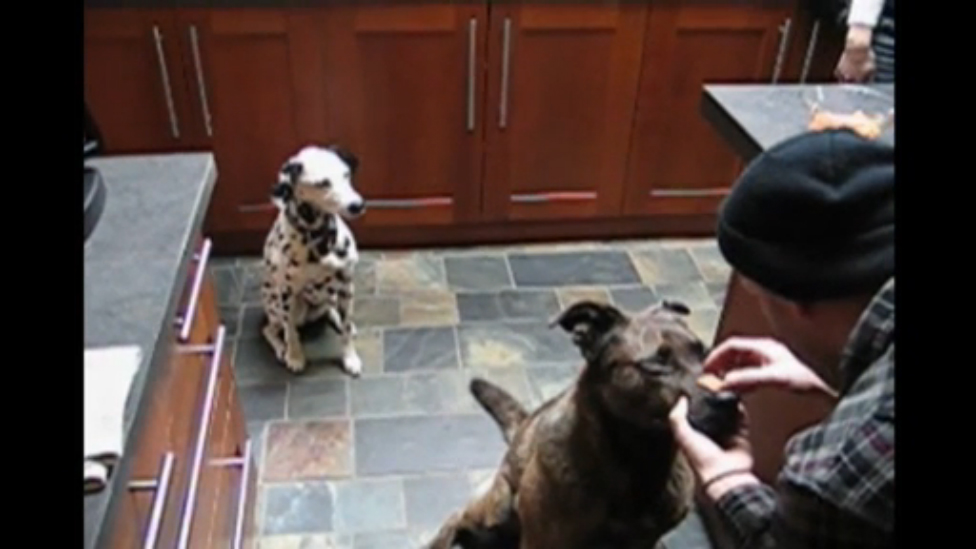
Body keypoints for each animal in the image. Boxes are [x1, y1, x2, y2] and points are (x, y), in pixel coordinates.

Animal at [260, 145, 366, 376]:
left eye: (346, 175)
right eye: (323, 183)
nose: (358, 205)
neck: (320, 238)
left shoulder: (347, 286)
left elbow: (346, 327)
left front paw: (350, 357)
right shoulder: (287, 294)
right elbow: (290, 332)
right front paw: (294, 356)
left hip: (333, 295)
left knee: (331, 311)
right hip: (283, 307)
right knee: (271, 329)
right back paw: (281, 348)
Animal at [425, 299, 710, 549]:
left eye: (706, 353)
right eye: (655, 363)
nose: (721, 400)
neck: (640, 465)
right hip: (498, 509)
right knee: (456, 518)